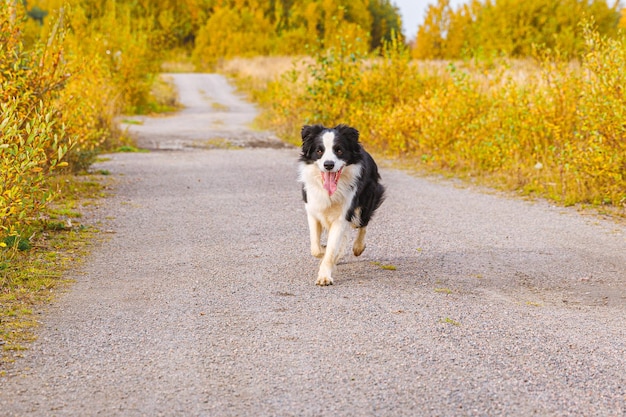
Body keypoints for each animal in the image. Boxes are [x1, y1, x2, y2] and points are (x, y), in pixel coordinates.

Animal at [296, 123, 382, 286]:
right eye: (319, 151)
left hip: (368, 197)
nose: (328, 165)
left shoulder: (343, 214)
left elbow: (331, 249)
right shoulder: (312, 209)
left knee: (362, 224)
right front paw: (324, 252)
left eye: (339, 150)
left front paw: (324, 276)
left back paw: (358, 247)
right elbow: (315, 248)